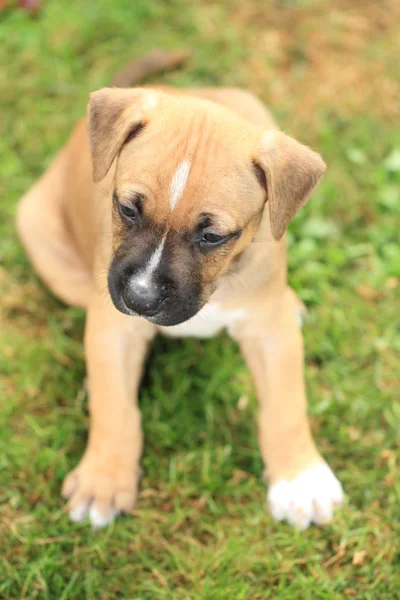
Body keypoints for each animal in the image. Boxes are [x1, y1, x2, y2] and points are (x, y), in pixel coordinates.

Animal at [16, 50, 344, 528]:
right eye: (126, 208)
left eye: (213, 236)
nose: (140, 299)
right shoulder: (115, 325)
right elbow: (116, 408)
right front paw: (103, 480)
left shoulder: (270, 331)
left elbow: (286, 404)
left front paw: (300, 479)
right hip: (41, 237)